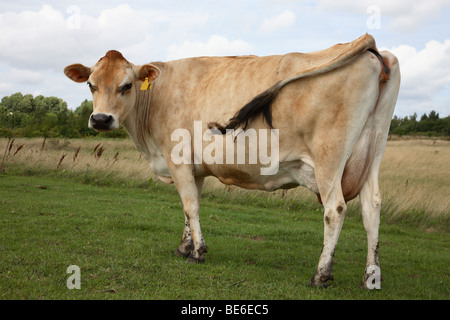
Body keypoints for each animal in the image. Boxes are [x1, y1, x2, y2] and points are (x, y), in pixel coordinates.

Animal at [63, 33, 400, 288]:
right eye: (91, 84)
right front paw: (184, 247)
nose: (101, 119)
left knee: (335, 209)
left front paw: (198, 252)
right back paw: (371, 277)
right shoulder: (195, 167)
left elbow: (190, 205)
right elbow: (189, 206)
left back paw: (321, 275)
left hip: (329, 157)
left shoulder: (178, 159)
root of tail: (371, 48)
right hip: (374, 150)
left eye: (127, 85)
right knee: (372, 207)